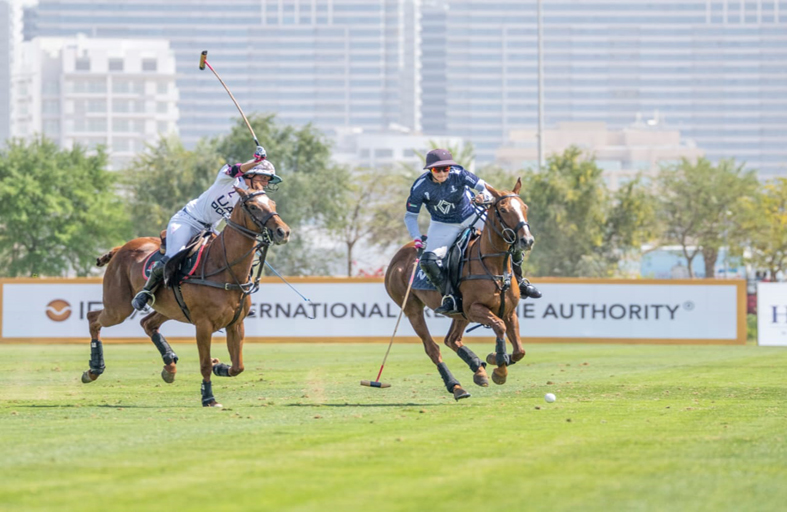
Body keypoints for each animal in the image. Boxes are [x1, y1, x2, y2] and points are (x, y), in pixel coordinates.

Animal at [81, 188, 290, 408]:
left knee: (147, 323)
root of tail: (120, 248)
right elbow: (204, 364)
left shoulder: (236, 323)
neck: (225, 267)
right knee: (93, 318)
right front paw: (208, 398)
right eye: (253, 206)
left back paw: (169, 366)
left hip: (168, 308)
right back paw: (94, 369)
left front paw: (218, 366)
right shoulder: (203, 325)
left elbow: (237, 366)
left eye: (273, 204)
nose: (283, 232)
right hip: (118, 307)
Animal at [384, 179, 536, 400]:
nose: (527, 240)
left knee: (452, 339)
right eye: (503, 209)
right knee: (432, 348)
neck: (493, 264)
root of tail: (396, 258)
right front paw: (499, 369)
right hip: (413, 309)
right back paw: (456, 386)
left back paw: (478, 370)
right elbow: (499, 327)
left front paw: (494, 358)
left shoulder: (508, 311)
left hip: (459, 313)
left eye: (525, 207)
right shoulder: (475, 309)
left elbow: (519, 350)